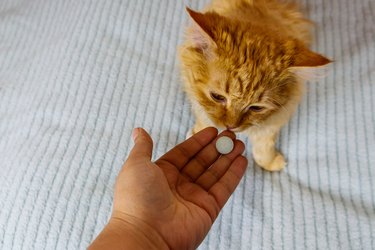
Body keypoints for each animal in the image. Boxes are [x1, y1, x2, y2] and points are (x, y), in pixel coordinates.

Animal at [179, 0, 332, 172]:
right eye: (217, 97)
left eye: (256, 108)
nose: (230, 126)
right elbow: (205, 120)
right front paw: (196, 134)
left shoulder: (272, 123)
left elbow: (263, 148)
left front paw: (270, 163)